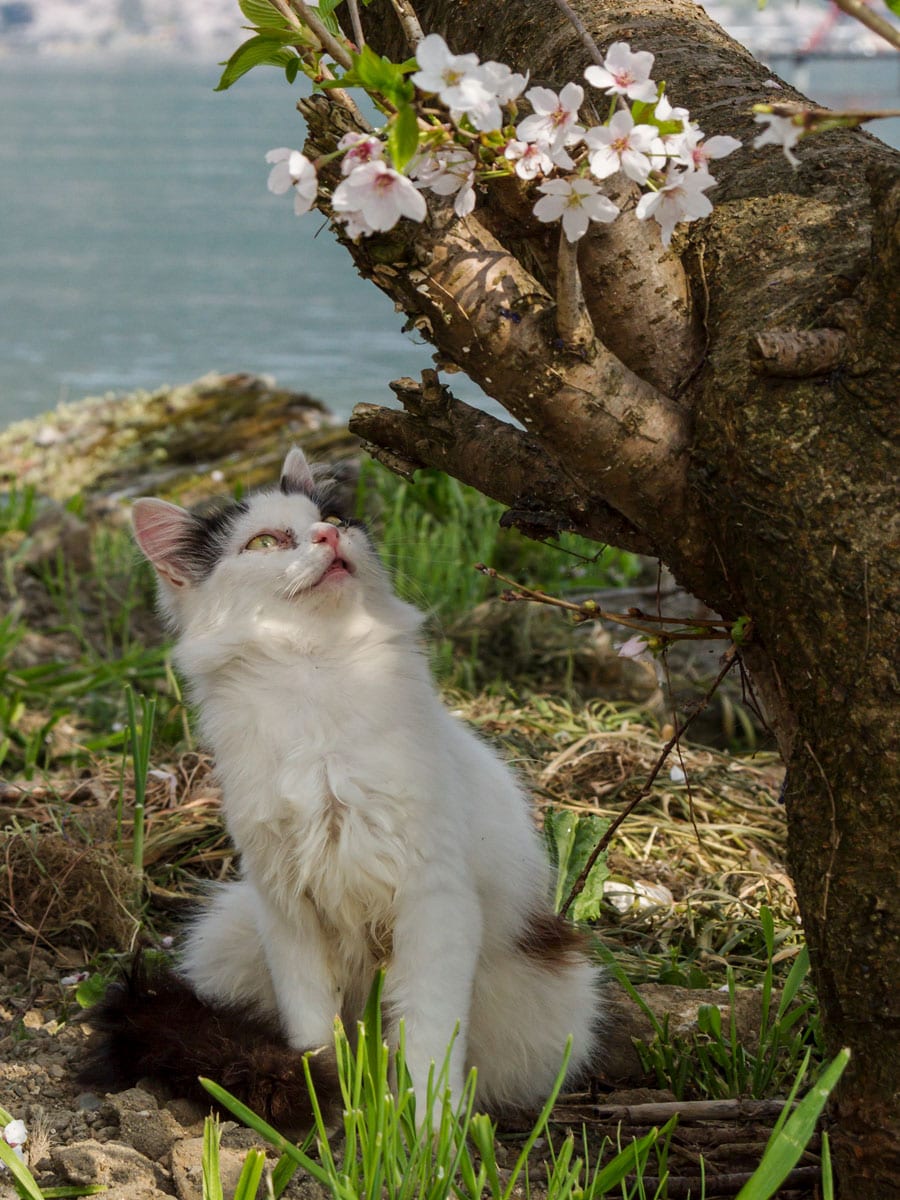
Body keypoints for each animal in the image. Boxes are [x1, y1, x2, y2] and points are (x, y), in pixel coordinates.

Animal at [82, 448, 607, 1123]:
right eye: (265, 542)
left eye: (333, 519)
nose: (329, 538)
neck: (317, 676)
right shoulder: (286, 905)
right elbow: (312, 1026)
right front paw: (326, 1102)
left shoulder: (434, 899)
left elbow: (428, 1042)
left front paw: (429, 1134)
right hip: (231, 928)